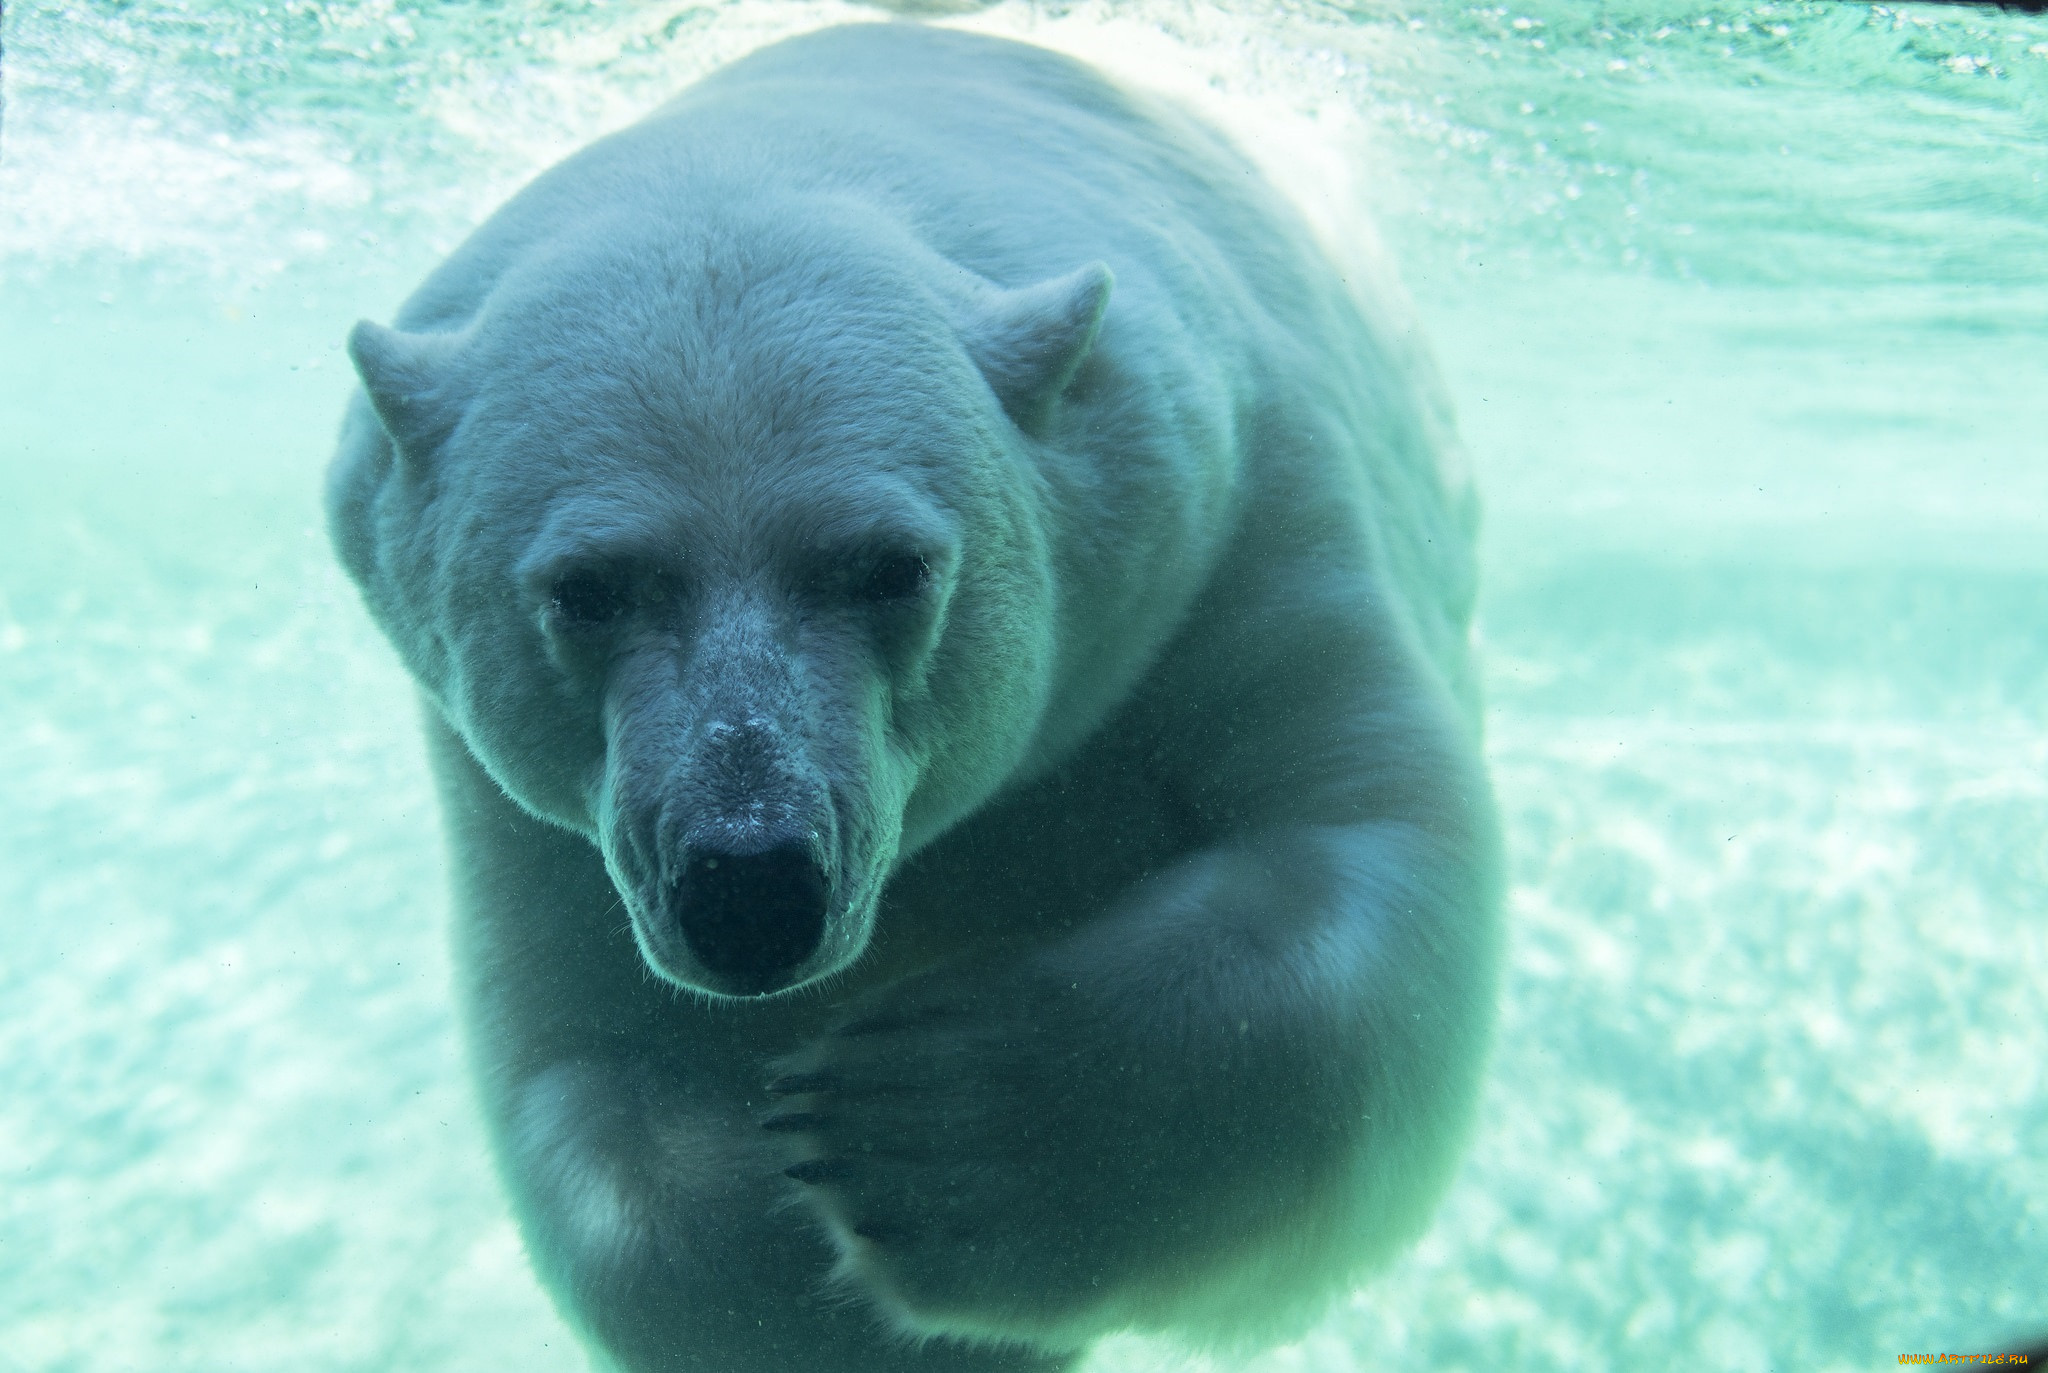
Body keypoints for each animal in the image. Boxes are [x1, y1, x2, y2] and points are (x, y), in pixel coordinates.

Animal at [323, 21, 1507, 1373]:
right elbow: (586, 1058)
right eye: (587, 589)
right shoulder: (516, 798)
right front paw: (792, 1250)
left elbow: (1366, 860)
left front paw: (930, 1135)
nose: (749, 887)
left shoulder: (1239, 517)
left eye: (889, 565)